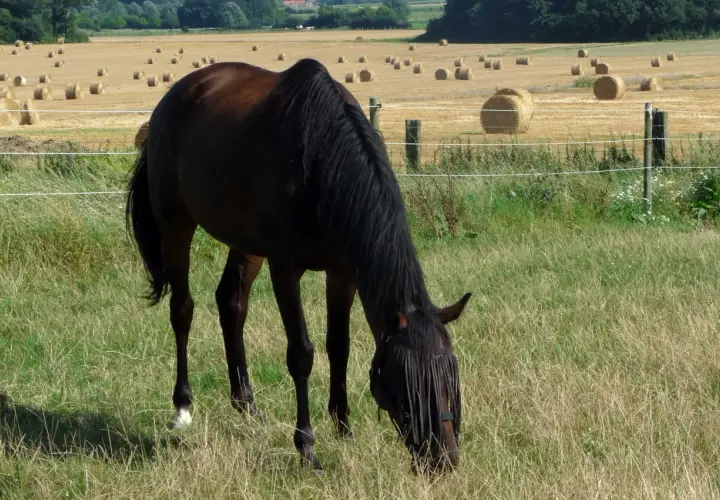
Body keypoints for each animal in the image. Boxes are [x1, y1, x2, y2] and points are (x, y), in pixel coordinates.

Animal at [125, 58, 471, 474]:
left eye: (451, 377)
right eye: (407, 382)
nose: (443, 459)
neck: (321, 160)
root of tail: (170, 99)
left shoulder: (343, 272)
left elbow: (339, 346)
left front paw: (344, 428)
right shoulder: (285, 267)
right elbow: (302, 354)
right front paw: (307, 447)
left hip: (246, 244)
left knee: (231, 302)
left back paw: (247, 404)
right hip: (176, 225)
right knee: (183, 310)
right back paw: (183, 409)